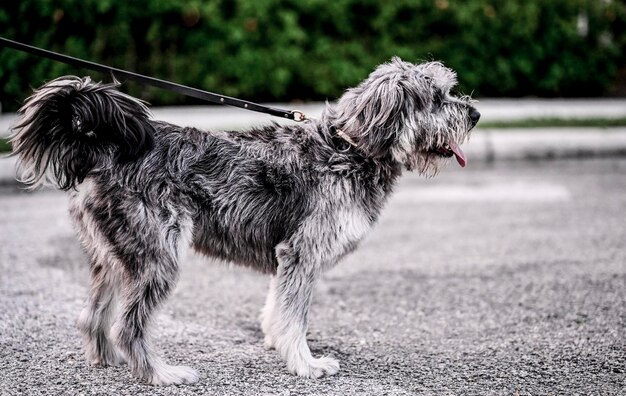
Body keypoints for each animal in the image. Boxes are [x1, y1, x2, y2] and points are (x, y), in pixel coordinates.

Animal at [9, 57, 478, 386]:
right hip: (159, 257)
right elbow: (294, 316)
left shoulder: (287, 258)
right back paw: (160, 374)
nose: (473, 115)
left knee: (92, 316)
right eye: (436, 98)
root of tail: (104, 151)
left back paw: (105, 358)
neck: (350, 148)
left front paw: (277, 343)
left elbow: (277, 308)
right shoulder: (302, 254)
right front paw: (306, 364)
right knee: (129, 325)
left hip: (115, 256)